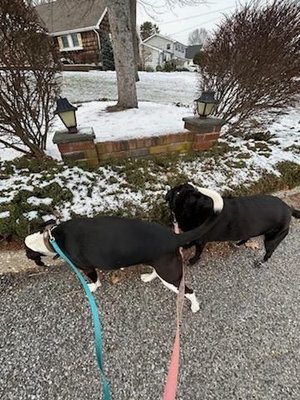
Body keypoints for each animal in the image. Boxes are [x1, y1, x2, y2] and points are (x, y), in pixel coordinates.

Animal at [24, 214, 220, 310]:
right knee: (156, 273)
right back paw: (148, 277)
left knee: (189, 291)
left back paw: (195, 306)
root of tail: (173, 237)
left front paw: (92, 288)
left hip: (170, 276)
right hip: (161, 266)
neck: (49, 238)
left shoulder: (87, 268)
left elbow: (94, 280)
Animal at [165, 184, 300, 266]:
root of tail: (289, 208)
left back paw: (261, 262)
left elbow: (197, 252)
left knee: (269, 252)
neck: (195, 206)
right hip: (251, 229)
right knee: (246, 237)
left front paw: (192, 260)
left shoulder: (201, 240)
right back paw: (237, 244)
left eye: (175, 191)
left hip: (272, 239)